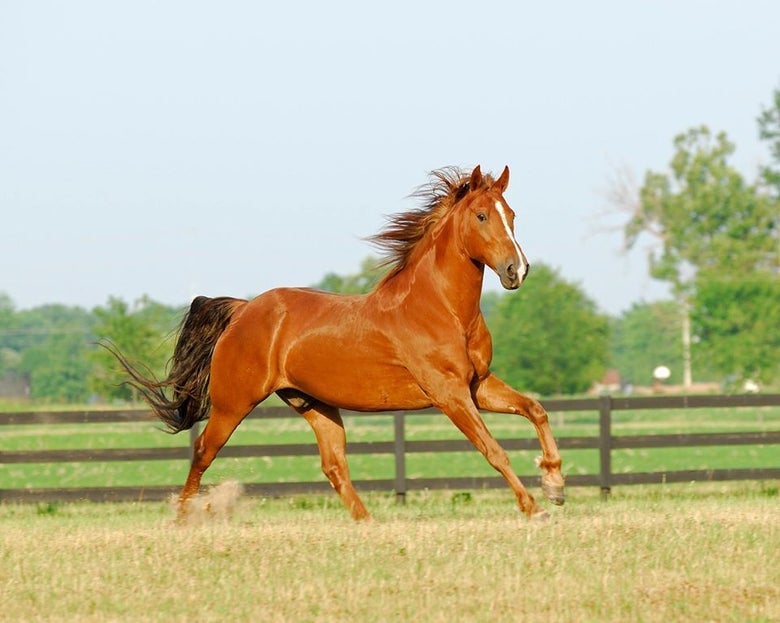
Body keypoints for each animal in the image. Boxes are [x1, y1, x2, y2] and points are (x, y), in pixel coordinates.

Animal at [108, 165, 565, 521]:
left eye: (512, 214)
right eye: (482, 215)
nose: (517, 270)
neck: (442, 309)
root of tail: (243, 311)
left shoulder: (478, 384)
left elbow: (535, 409)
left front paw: (555, 483)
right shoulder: (449, 393)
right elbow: (493, 449)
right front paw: (536, 508)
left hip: (314, 404)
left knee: (333, 465)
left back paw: (370, 523)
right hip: (233, 403)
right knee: (204, 450)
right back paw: (181, 519)